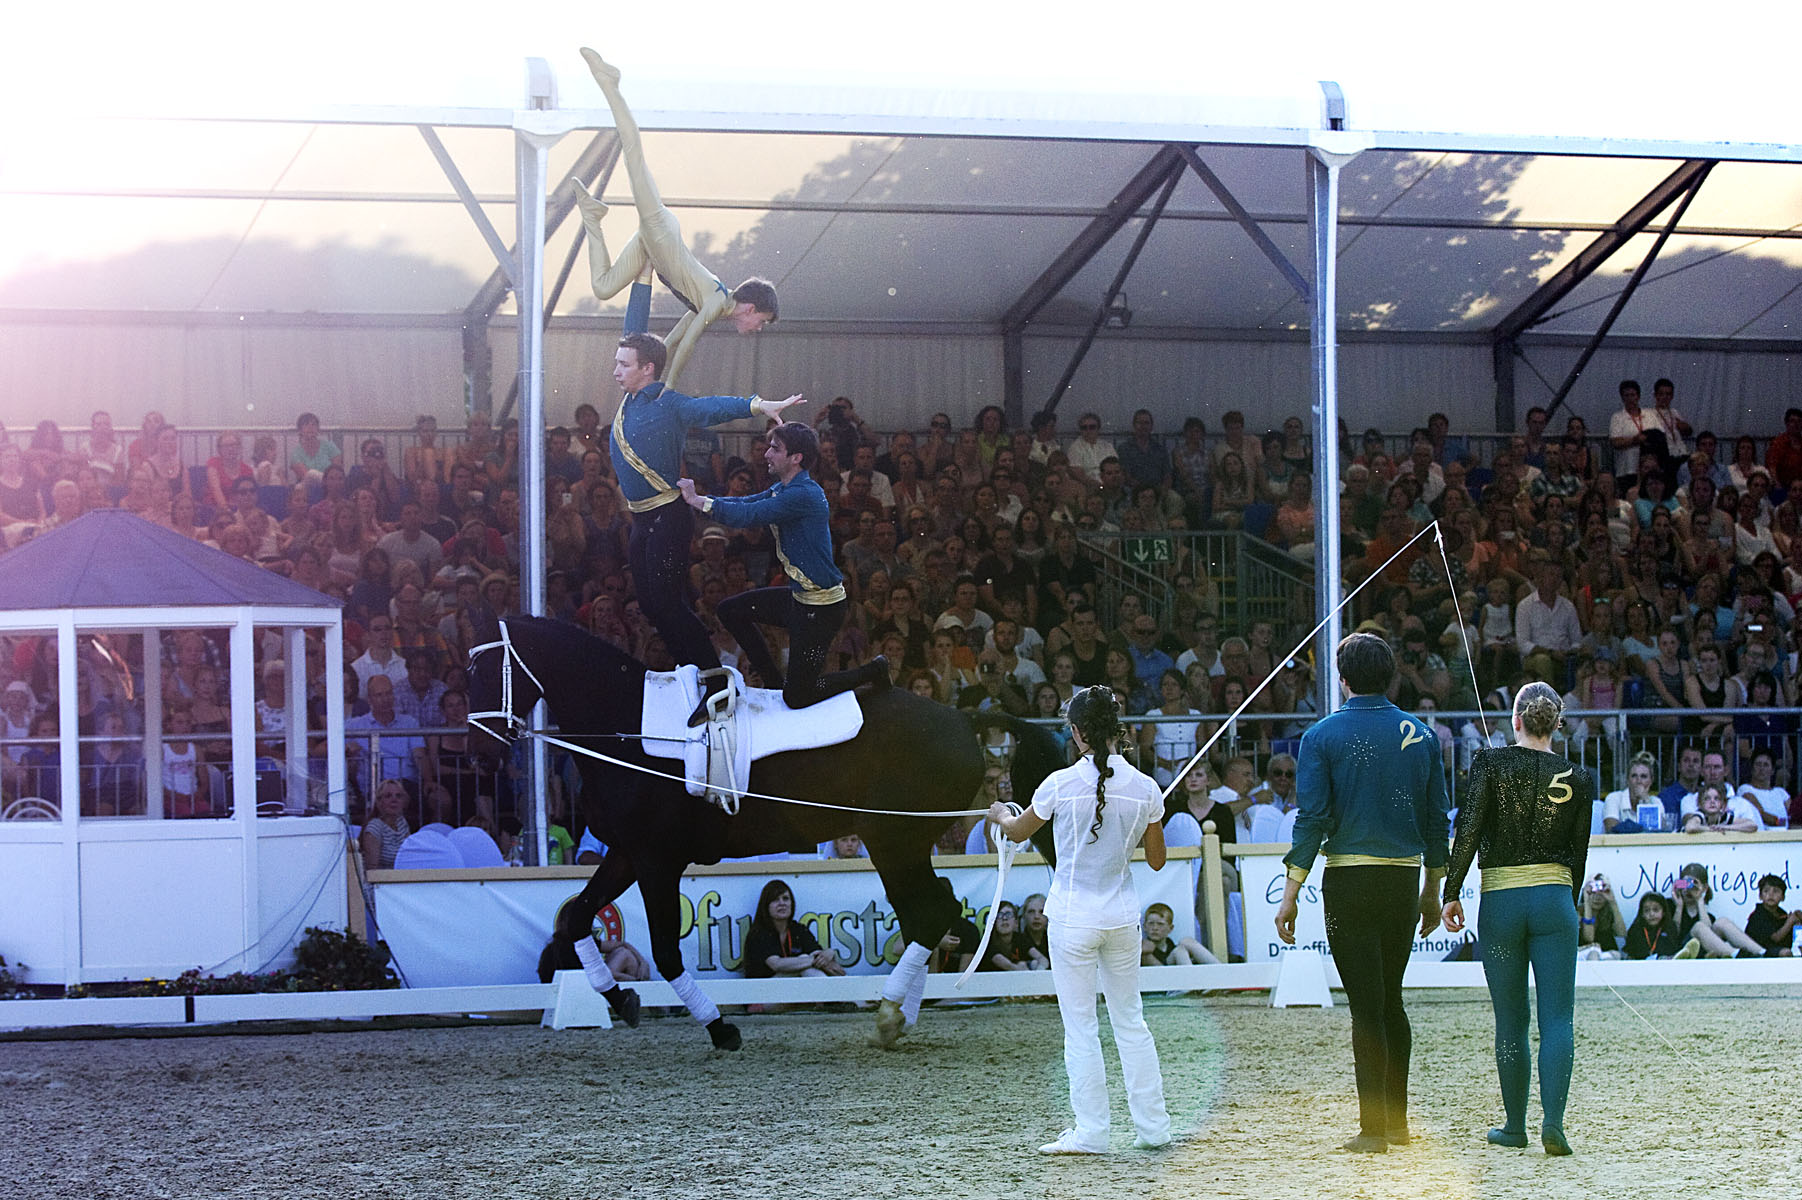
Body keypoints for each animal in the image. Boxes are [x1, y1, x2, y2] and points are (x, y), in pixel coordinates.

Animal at [464, 616, 1059, 1045]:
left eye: (485, 669)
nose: (479, 753)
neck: (630, 732)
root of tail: (961, 718)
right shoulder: (628, 853)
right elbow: (574, 920)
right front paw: (620, 999)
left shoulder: (657, 859)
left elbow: (664, 949)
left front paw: (720, 1028)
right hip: (903, 843)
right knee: (934, 912)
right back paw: (901, 1015)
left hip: (894, 841)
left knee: (933, 913)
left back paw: (891, 1013)